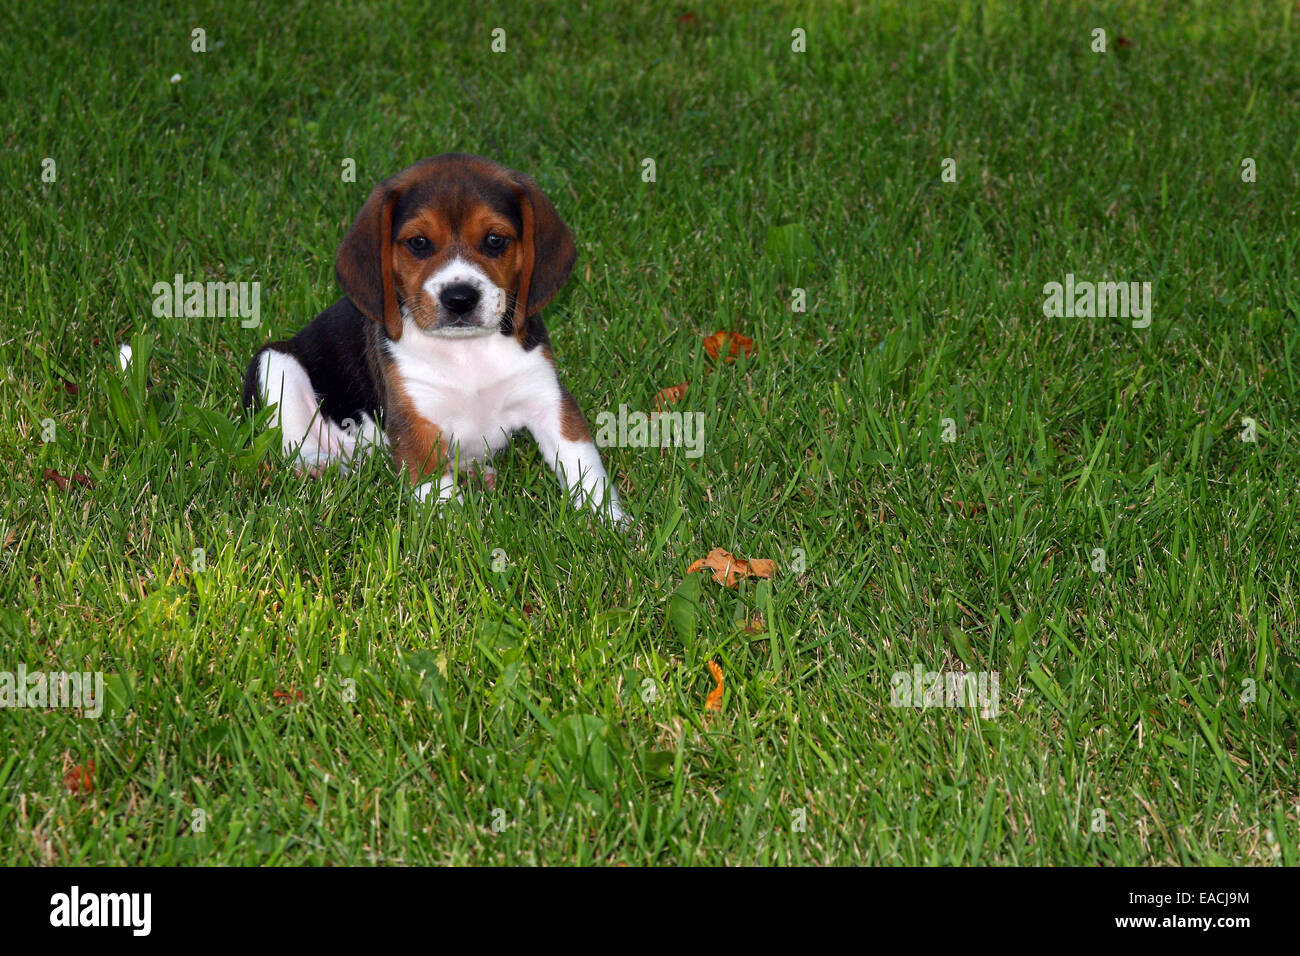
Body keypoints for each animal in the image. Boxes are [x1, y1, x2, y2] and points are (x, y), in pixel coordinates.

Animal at [246, 154, 629, 528]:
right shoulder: (416, 421)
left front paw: (609, 523)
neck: (467, 350)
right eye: (418, 243)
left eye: (495, 240)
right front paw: (451, 530)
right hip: (275, 362)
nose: (460, 299)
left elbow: (584, 463)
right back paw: (316, 464)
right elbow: (437, 491)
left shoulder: (548, 401)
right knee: (293, 441)